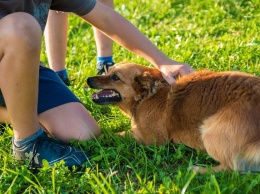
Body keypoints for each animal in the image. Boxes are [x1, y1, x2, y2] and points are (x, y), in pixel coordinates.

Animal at [87, 62, 260, 173]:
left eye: (115, 77)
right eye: (107, 71)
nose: (88, 79)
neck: (147, 96)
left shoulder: (148, 139)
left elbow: (113, 134)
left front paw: (96, 138)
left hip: (210, 130)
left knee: (232, 169)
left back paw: (198, 170)